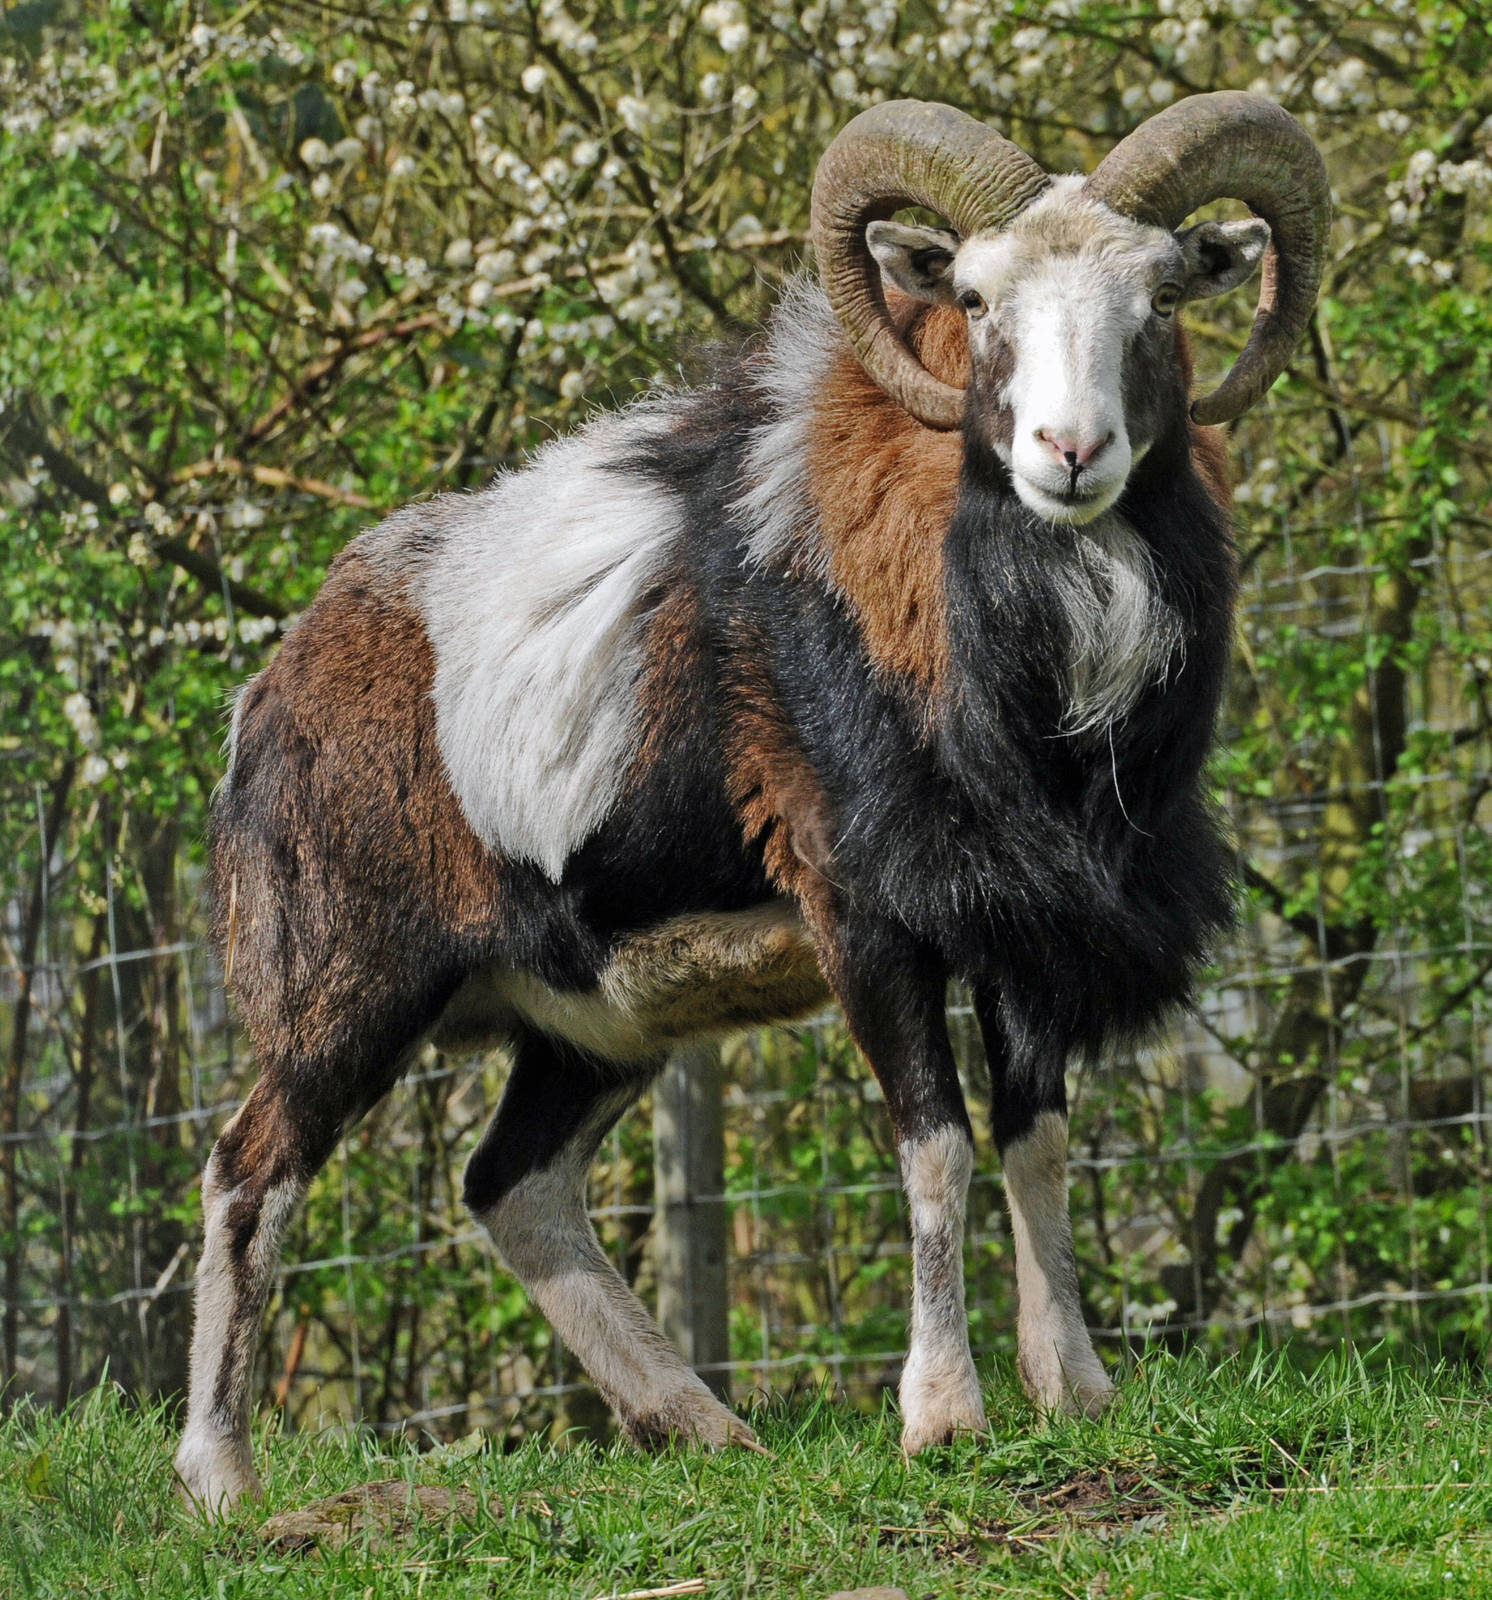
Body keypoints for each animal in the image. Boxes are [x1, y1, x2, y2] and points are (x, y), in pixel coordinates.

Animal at [174, 91, 1329, 1513]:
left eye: (1161, 298)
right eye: (979, 299)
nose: (1070, 454)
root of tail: (272, 697)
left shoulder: (1027, 932)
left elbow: (1035, 1139)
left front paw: (1076, 1393)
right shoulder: (865, 917)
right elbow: (937, 1144)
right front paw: (943, 1419)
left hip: (588, 1024)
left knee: (513, 1188)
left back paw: (705, 1430)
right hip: (346, 999)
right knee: (250, 1175)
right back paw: (222, 1483)